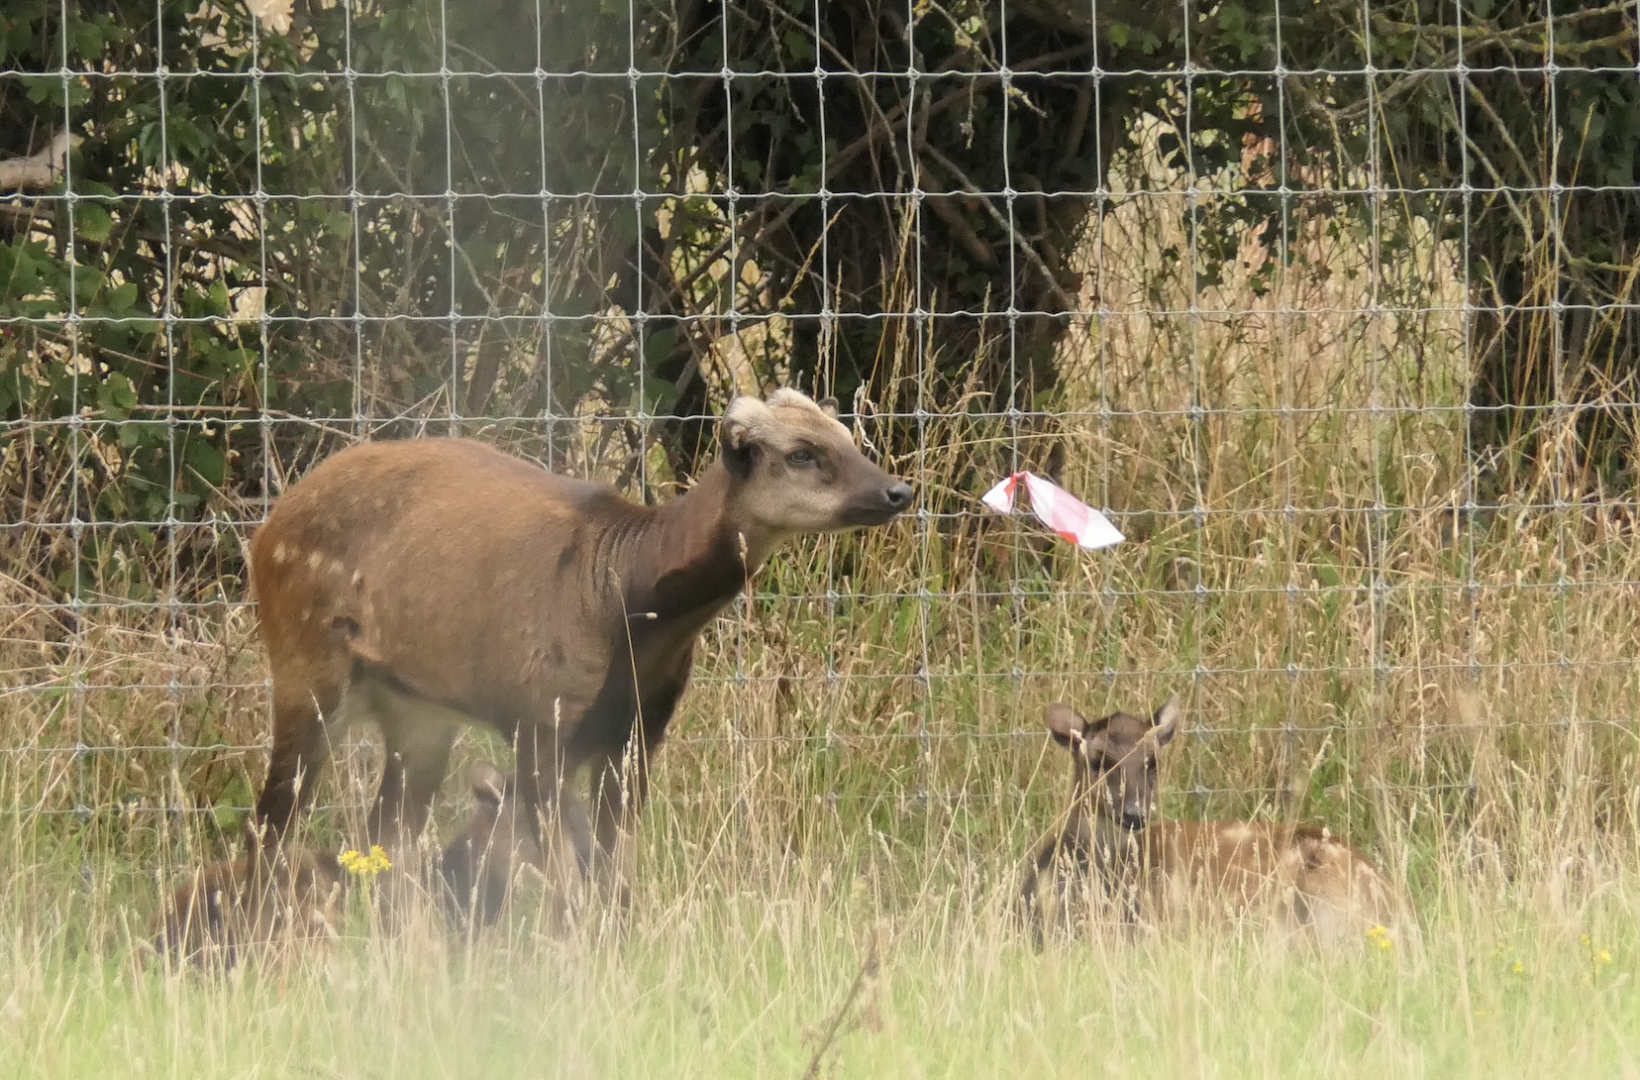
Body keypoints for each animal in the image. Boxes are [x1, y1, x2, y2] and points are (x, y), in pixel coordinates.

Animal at [243, 388, 912, 913]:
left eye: (847, 436)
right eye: (802, 452)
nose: (897, 490)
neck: (626, 609)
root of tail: (265, 528)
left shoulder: (640, 732)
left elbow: (616, 885)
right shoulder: (539, 722)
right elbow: (569, 895)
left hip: (419, 716)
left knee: (386, 841)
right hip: (304, 669)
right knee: (268, 825)